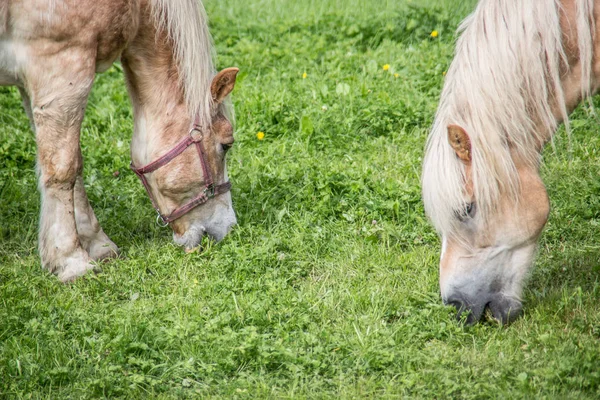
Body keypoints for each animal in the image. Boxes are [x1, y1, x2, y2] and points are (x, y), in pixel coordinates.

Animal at [0, 0, 239, 282]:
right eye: (225, 145)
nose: (229, 228)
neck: (137, 7)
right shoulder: (62, 68)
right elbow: (63, 169)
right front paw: (71, 260)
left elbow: (72, 164)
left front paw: (96, 242)